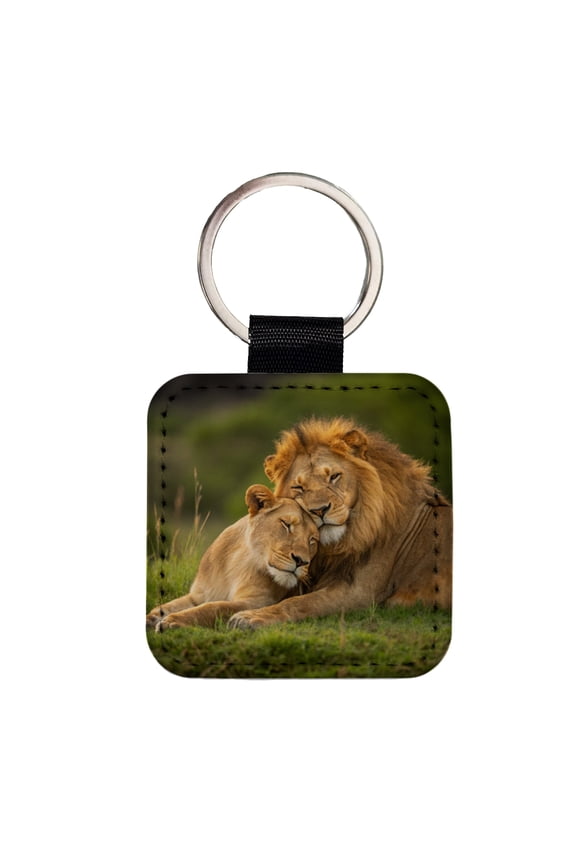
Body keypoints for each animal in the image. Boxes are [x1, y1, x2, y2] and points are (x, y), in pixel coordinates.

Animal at [146, 484, 319, 631]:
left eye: (312, 540)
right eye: (286, 524)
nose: (302, 561)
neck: (237, 563)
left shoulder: (257, 602)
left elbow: (214, 607)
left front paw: (171, 621)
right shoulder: (199, 595)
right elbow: (169, 605)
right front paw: (152, 618)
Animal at [228, 417, 452, 630]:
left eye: (334, 476)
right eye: (298, 487)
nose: (319, 510)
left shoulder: (361, 593)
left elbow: (300, 603)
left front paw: (249, 618)